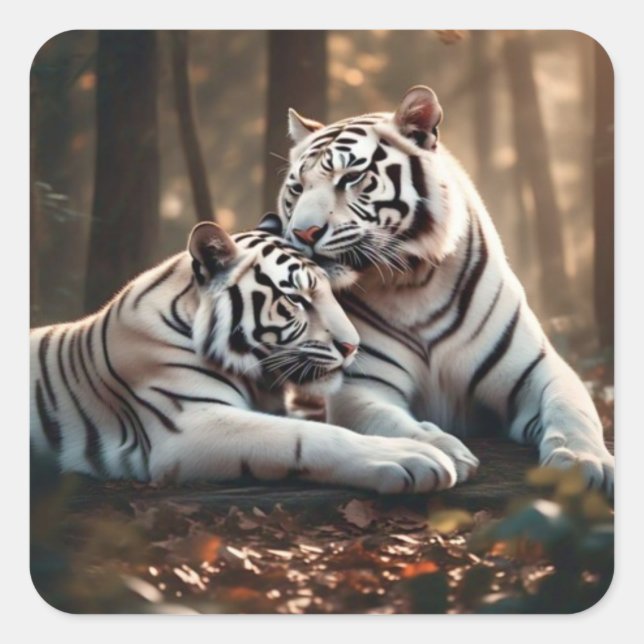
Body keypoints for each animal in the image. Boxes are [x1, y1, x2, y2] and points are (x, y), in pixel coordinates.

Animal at [30, 220, 459, 492]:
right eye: (296, 299)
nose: (352, 346)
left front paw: (439, 441)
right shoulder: (189, 426)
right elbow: (312, 435)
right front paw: (411, 458)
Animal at [272, 85, 614, 495]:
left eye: (351, 177)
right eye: (297, 188)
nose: (303, 233)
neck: (410, 283)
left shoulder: (538, 370)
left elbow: (572, 410)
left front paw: (582, 462)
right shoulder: (362, 389)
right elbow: (394, 424)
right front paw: (443, 450)